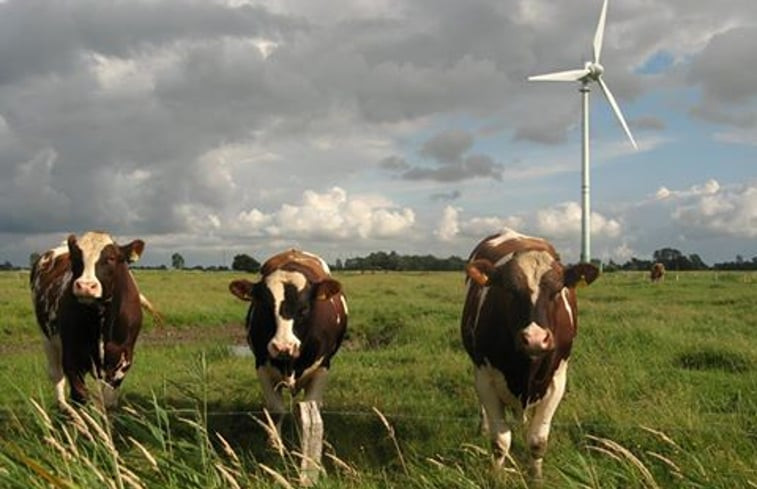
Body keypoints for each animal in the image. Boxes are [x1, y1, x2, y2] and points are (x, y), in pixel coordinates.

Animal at [30, 231, 148, 406]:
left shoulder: (122, 359)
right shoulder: (72, 358)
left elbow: (109, 400)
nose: (85, 286)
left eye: (111, 258)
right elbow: (80, 396)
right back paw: (64, 407)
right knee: (56, 375)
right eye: (77, 258)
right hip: (47, 339)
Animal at [458, 229, 600, 476]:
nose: (535, 339)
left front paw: (536, 477)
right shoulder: (485, 379)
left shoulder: (557, 382)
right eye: (510, 290)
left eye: (557, 291)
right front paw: (496, 477)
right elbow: (500, 441)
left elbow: (537, 441)